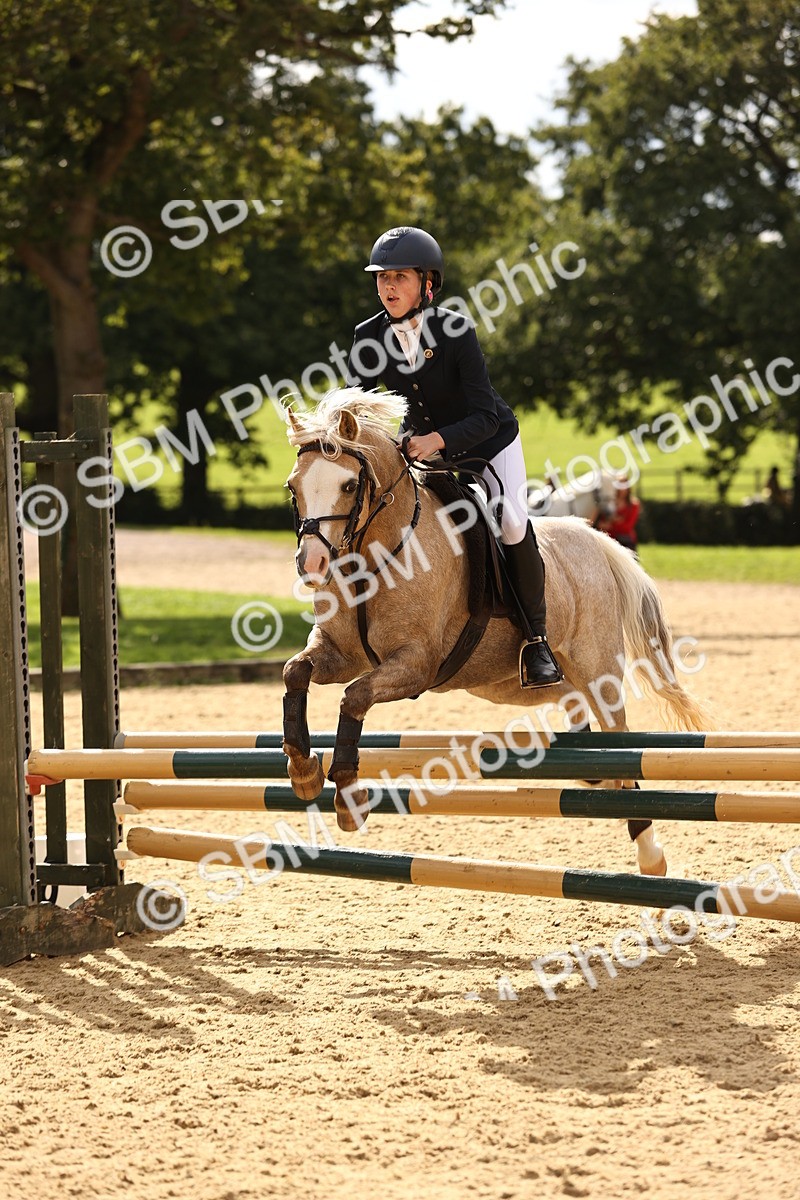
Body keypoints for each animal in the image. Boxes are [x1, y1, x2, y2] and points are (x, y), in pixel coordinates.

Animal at [281, 388, 707, 876]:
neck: (374, 557)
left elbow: (354, 697)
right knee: (575, 713)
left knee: (621, 746)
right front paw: (304, 771)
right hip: (513, 685)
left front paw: (349, 796)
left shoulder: (415, 664)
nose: (312, 565)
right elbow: (296, 672)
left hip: (599, 672)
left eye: (349, 486)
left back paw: (649, 851)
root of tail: (594, 539)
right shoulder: (339, 653)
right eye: (293, 486)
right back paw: (590, 772)